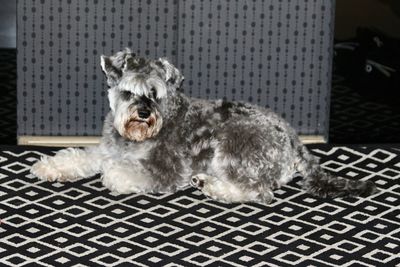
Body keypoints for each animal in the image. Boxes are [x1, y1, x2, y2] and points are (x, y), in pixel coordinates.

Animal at [31, 48, 378, 204]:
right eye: (129, 91)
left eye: (155, 93)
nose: (143, 113)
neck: (136, 138)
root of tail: (296, 143)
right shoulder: (106, 148)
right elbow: (83, 156)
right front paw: (51, 166)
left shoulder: (164, 169)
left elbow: (118, 171)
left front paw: (112, 174)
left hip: (232, 145)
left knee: (258, 191)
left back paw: (211, 185)